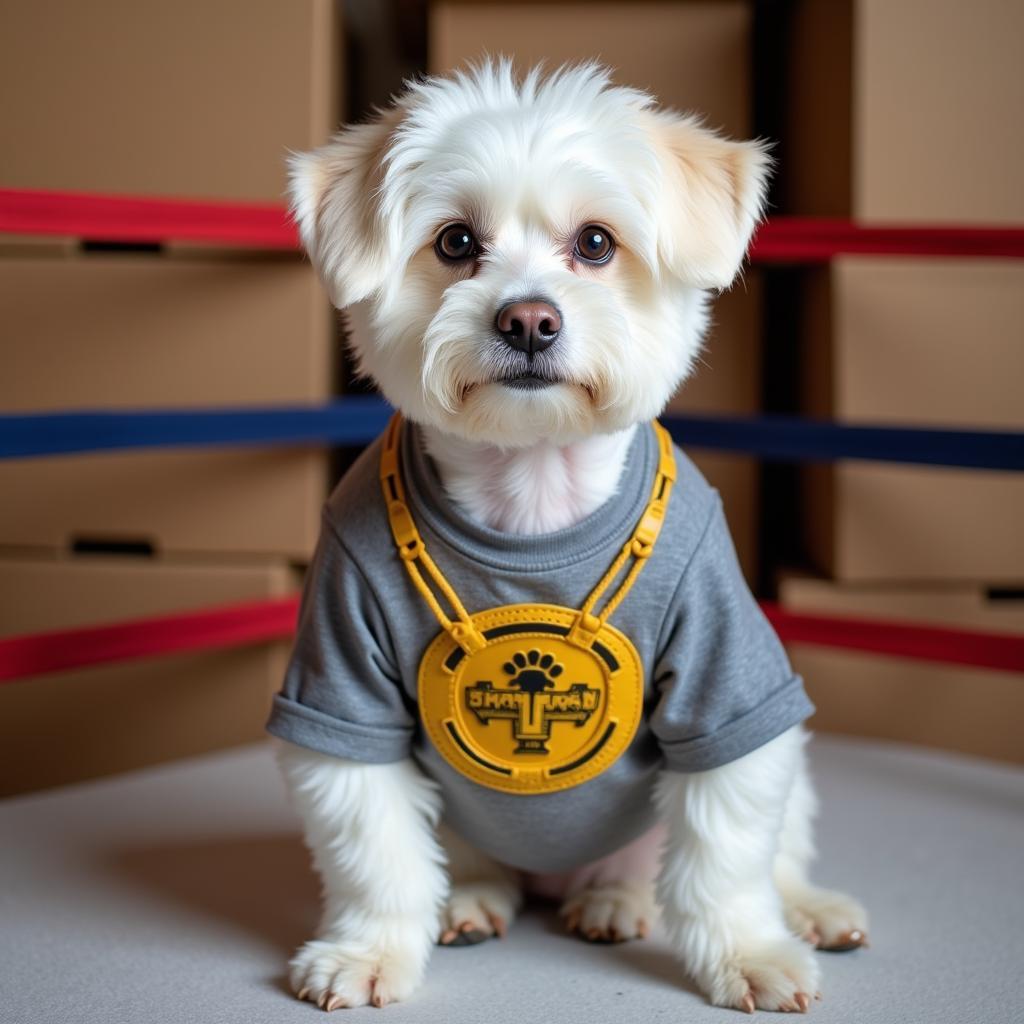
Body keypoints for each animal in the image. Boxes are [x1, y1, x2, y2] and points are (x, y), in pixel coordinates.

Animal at [268, 59, 868, 1011]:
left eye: (594, 243)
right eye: (454, 243)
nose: (527, 320)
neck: (533, 499)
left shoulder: (729, 681)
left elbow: (727, 855)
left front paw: (748, 953)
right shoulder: (339, 682)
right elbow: (376, 853)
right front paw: (367, 951)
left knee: (761, 855)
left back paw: (750, 906)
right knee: (471, 864)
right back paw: (480, 900)